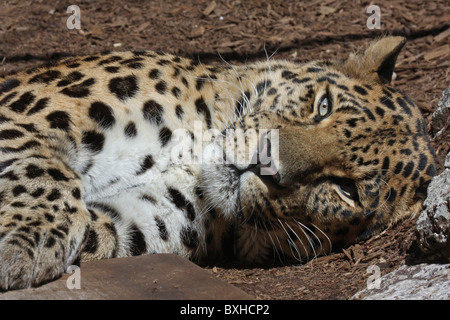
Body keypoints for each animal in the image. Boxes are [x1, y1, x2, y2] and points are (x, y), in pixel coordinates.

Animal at [0, 37, 436, 290]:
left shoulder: (143, 217)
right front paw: (23, 243)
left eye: (347, 190)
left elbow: (91, 223)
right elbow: (44, 172)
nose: (266, 162)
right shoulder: (35, 111)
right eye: (323, 105)